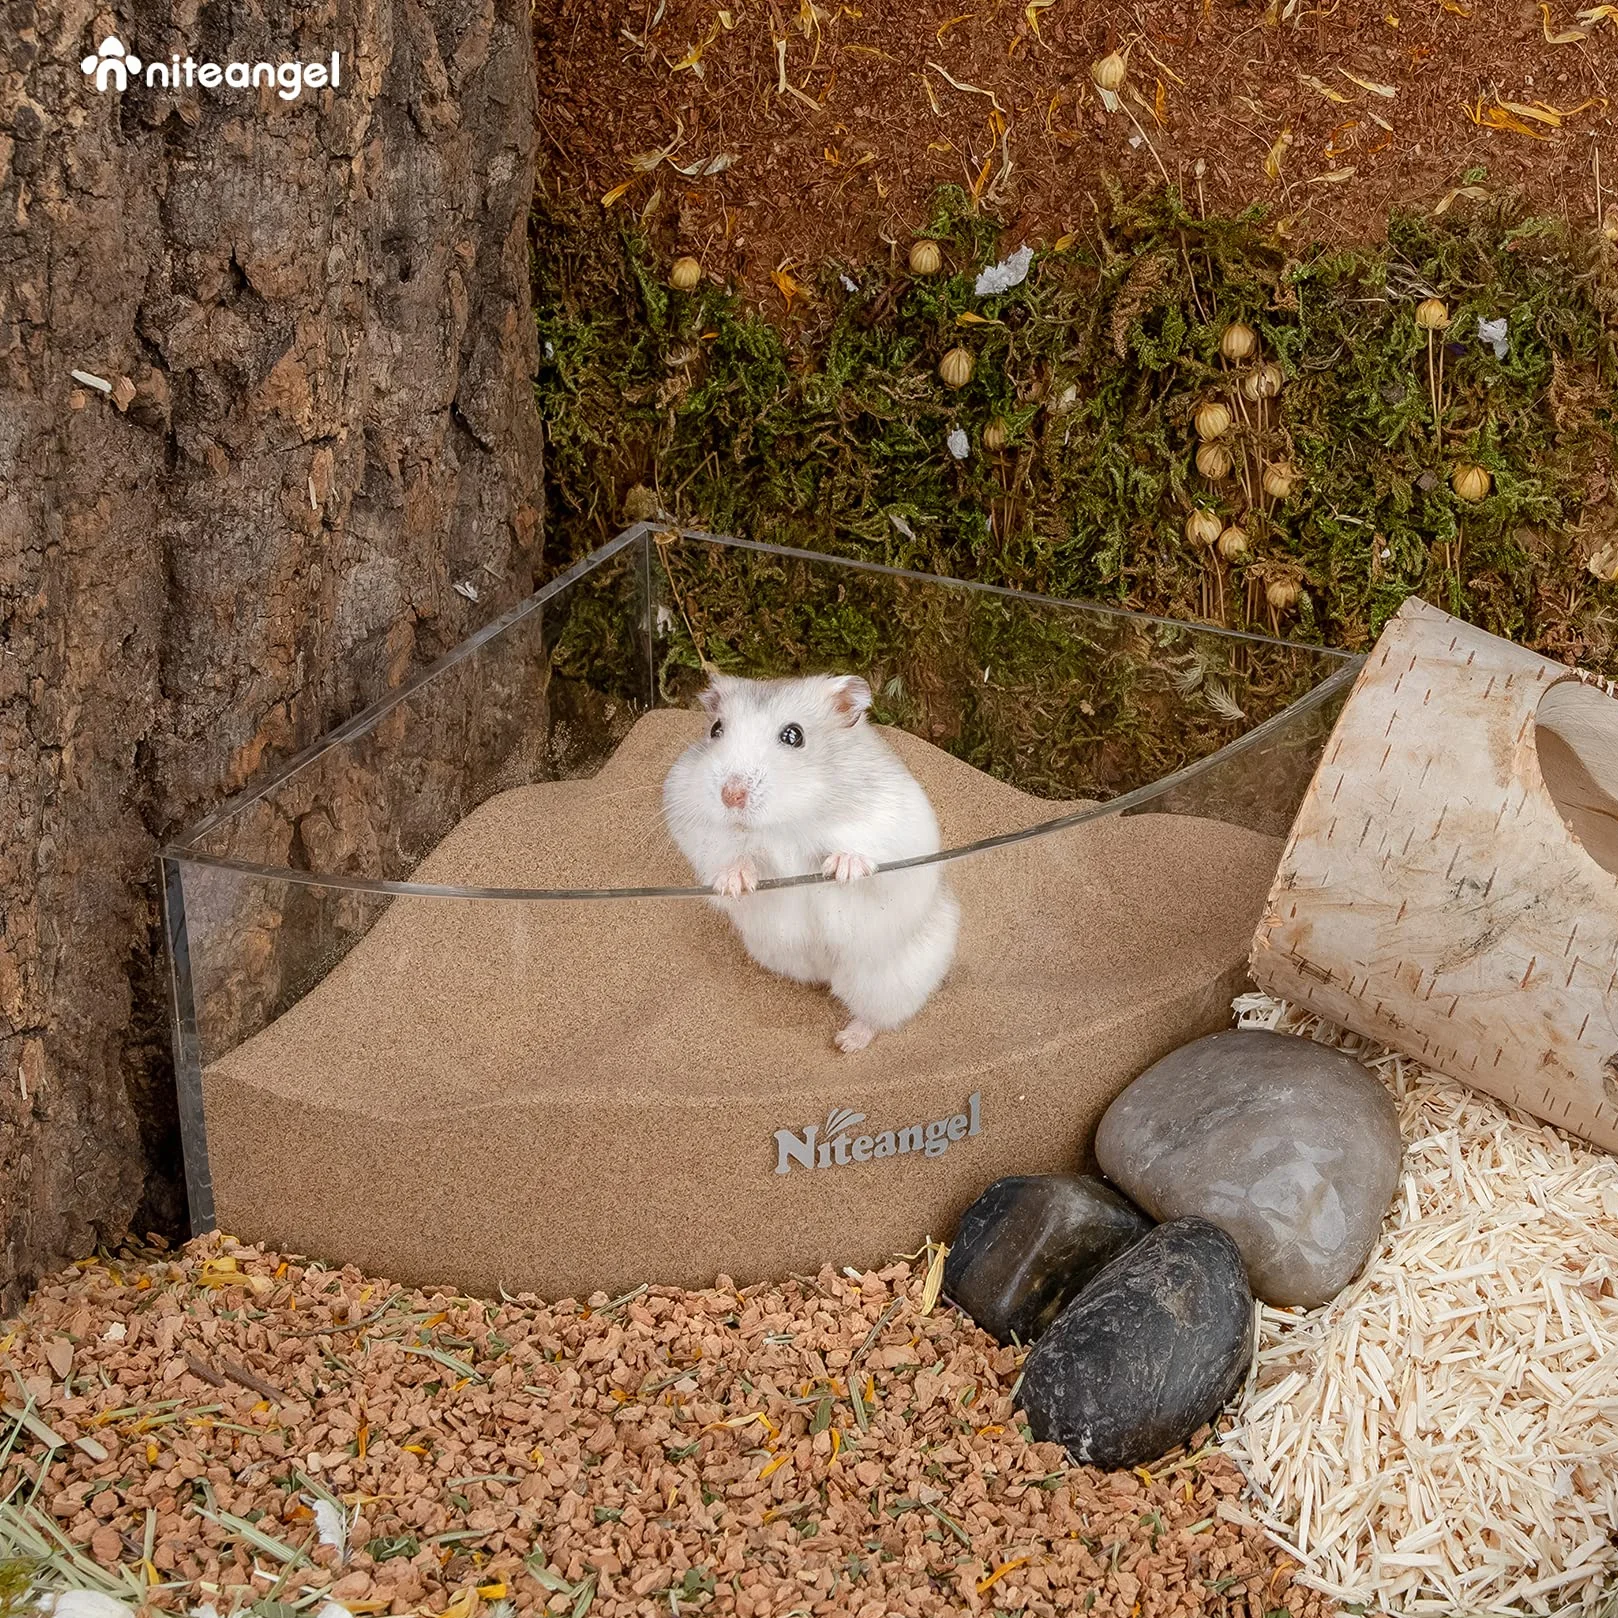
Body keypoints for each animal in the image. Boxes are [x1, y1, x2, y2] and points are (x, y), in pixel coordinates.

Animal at [662, 672, 961, 1052]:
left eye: (794, 736)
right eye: (716, 729)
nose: (731, 796)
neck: (786, 825)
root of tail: (824, 971)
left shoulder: (893, 823)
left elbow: (868, 851)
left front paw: (842, 868)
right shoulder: (693, 824)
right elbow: (730, 855)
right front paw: (734, 883)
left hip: (887, 982)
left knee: (878, 1017)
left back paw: (846, 1043)